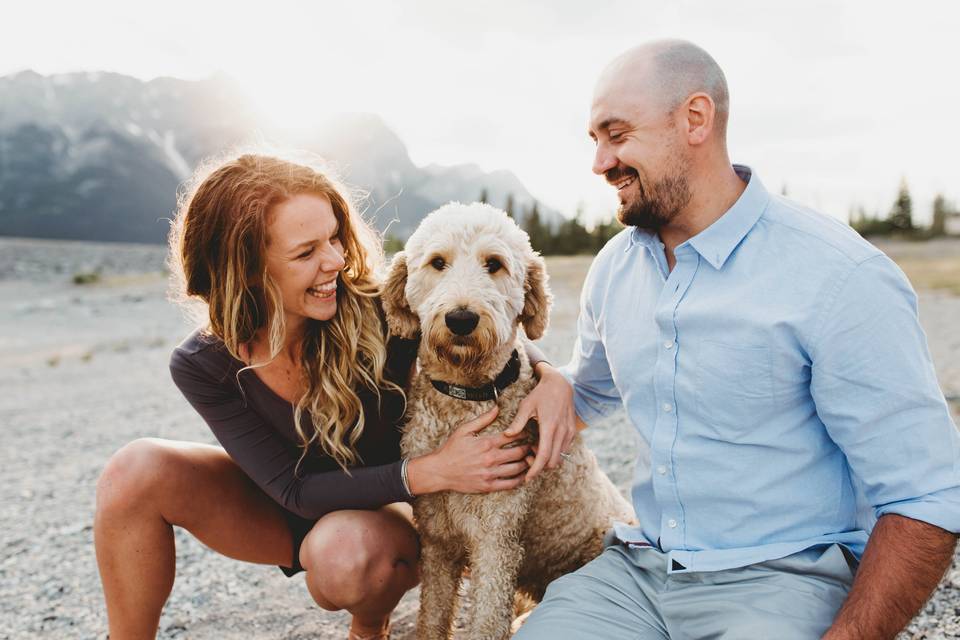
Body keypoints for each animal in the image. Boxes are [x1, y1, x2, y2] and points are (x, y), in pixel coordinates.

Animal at [382, 202, 636, 640]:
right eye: (437, 262)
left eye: (494, 264)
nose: (461, 318)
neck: (463, 401)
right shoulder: (436, 539)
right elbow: (432, 615)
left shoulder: (495, 541)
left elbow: (486, 620)